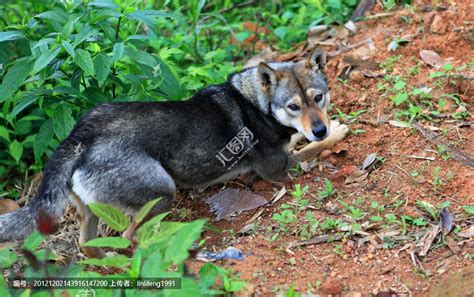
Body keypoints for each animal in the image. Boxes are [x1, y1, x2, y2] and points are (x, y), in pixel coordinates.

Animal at [0, 47, 348, 256]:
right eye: (293, 106)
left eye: (318, 98)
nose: (320, 128)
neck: (256, 103)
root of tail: (79, 136)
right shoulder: (276, 166)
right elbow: (308, 147)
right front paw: (336, 133)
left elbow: (302, 140)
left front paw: (323, 131)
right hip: (161, 192)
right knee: (131, 236)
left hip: (90, 211)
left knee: (89, 244)